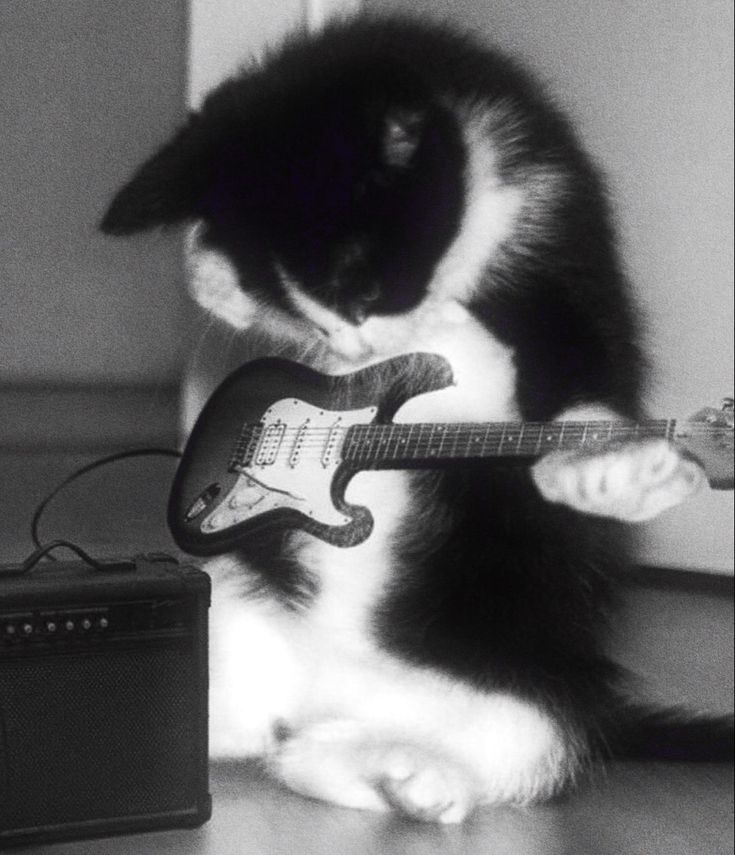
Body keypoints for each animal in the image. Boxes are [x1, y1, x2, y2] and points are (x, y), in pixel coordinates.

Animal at [98, 18, 720, 824]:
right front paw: (215, 276)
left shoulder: (566, 256)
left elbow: (579, 361)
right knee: (228, 724)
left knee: (525, 739)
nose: (353, 347)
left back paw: (413, 777)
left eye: (363, 285)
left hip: (520, 669)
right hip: (228, 609)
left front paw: (611, 466)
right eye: (298, 304)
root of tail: (317, 693)